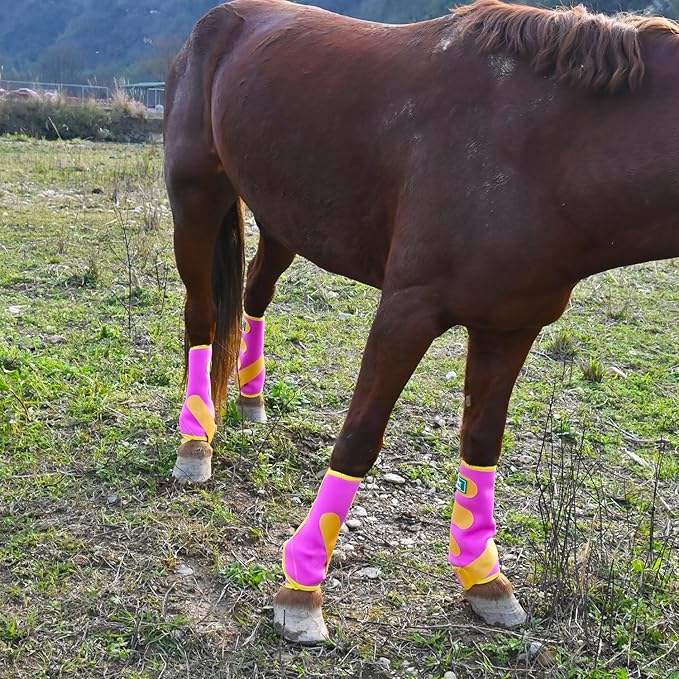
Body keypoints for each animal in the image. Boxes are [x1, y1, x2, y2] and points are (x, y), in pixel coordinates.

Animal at [164, 0, 679, 644]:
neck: (544, 146)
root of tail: (217, 23)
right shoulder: (406, 311)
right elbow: (359, 438)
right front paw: (302, 589)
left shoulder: (510, 325)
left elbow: (482, 443)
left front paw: (484, 577)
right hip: (197, 198)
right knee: (203, 318)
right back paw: (195, 440)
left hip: (283, 216)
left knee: (256, 291)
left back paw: (252, 400)